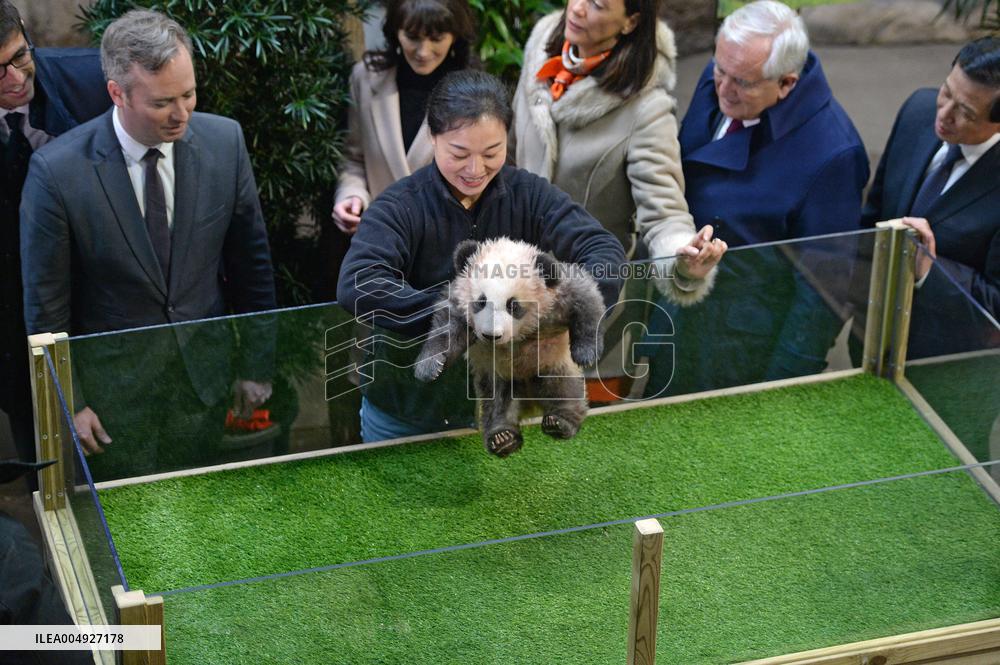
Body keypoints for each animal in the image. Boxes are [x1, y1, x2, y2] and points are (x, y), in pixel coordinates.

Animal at [414, 237, 606, 457]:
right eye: (481, 301)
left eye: (513, 305)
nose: (491, 335)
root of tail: (530, 402)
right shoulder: (458, 303)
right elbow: (444, 330)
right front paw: (429, 367)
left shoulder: (557, 296)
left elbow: (587, 301)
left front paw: (586, 353)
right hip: (497, 376)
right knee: (496, 403)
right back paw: (502, 437)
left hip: (551, 363)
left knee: (562, 388)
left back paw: (560, 422)